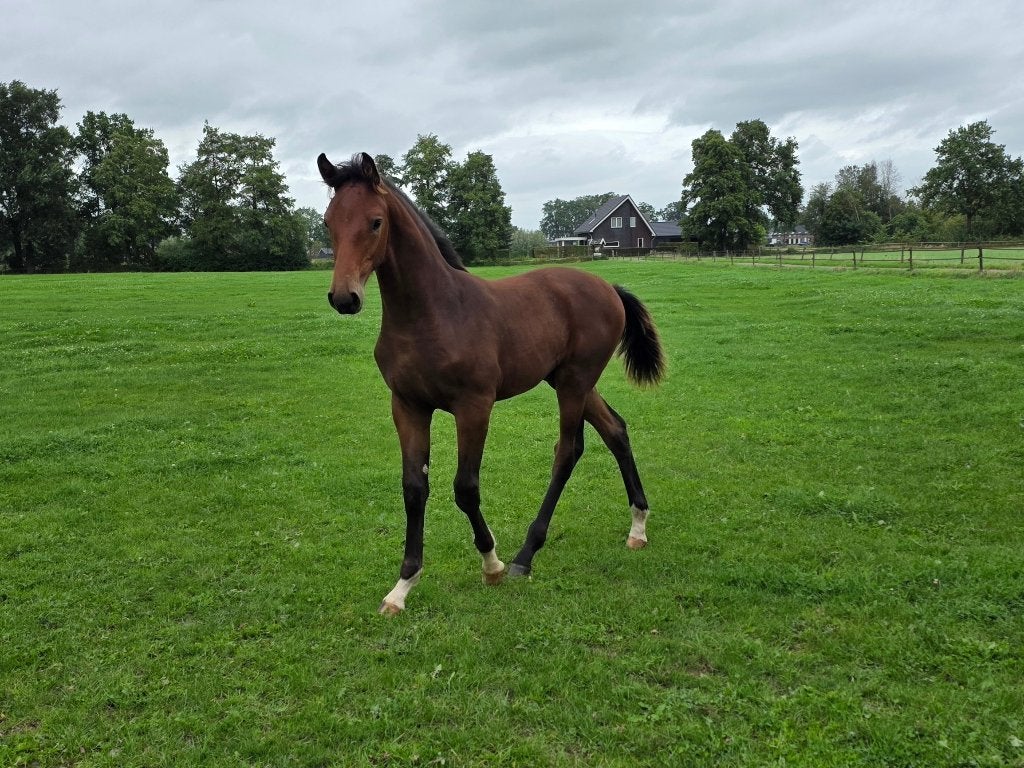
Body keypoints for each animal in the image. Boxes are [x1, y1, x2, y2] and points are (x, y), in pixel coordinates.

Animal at [317, 152, 665, 614]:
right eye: (327, 222)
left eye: (375, 222)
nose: (345, 298)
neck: (433, 313)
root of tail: (606, 284)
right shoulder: (408, 406)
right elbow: (414, 488)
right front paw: (403, 585)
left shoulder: (474, 407)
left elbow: (465, 487)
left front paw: (492, 563)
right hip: (568, 380)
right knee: (616, 431)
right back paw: (638, 527)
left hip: (574, 383)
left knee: (568, 451)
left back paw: (525, 555)